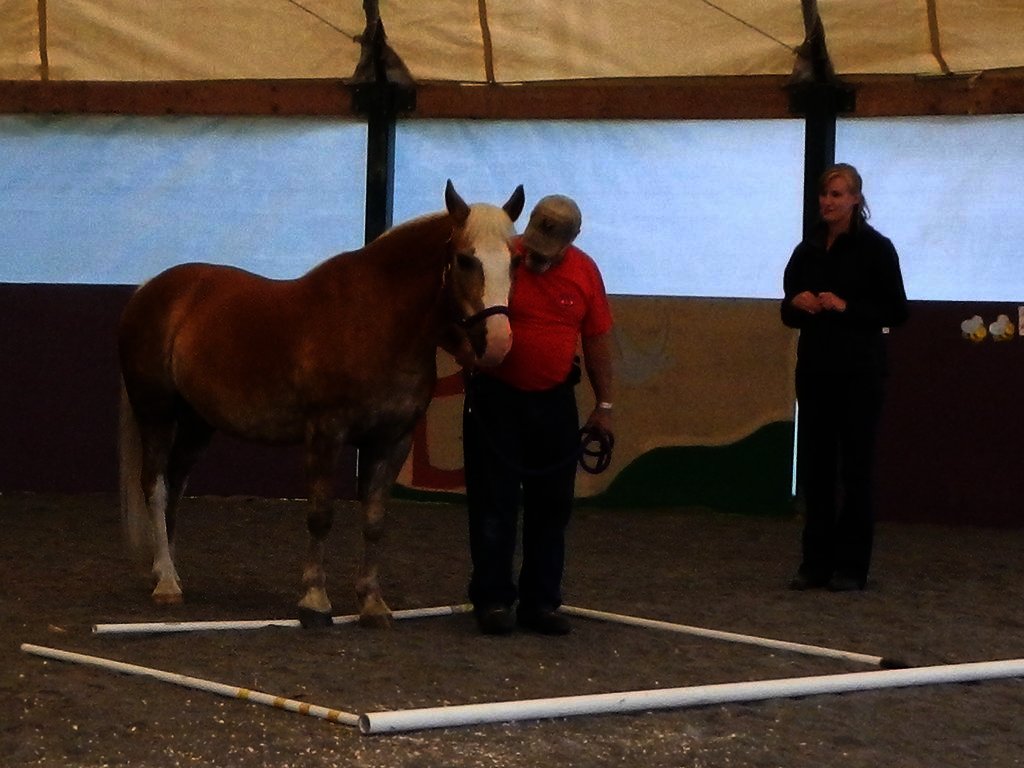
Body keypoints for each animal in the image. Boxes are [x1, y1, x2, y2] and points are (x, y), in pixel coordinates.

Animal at [116, 183, 524, 626]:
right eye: (465, 260)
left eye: (516, 261)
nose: (499, 343)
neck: (376, 321)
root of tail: (149, 289)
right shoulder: (326, 433)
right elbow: (320, 515)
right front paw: (314, 601)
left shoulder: (392, 440)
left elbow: (375, 521)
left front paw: (372, 604)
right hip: (156, 413)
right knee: (156, 485)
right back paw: (166, 584)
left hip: (197, 423)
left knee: (175, 484)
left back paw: (169, 570)